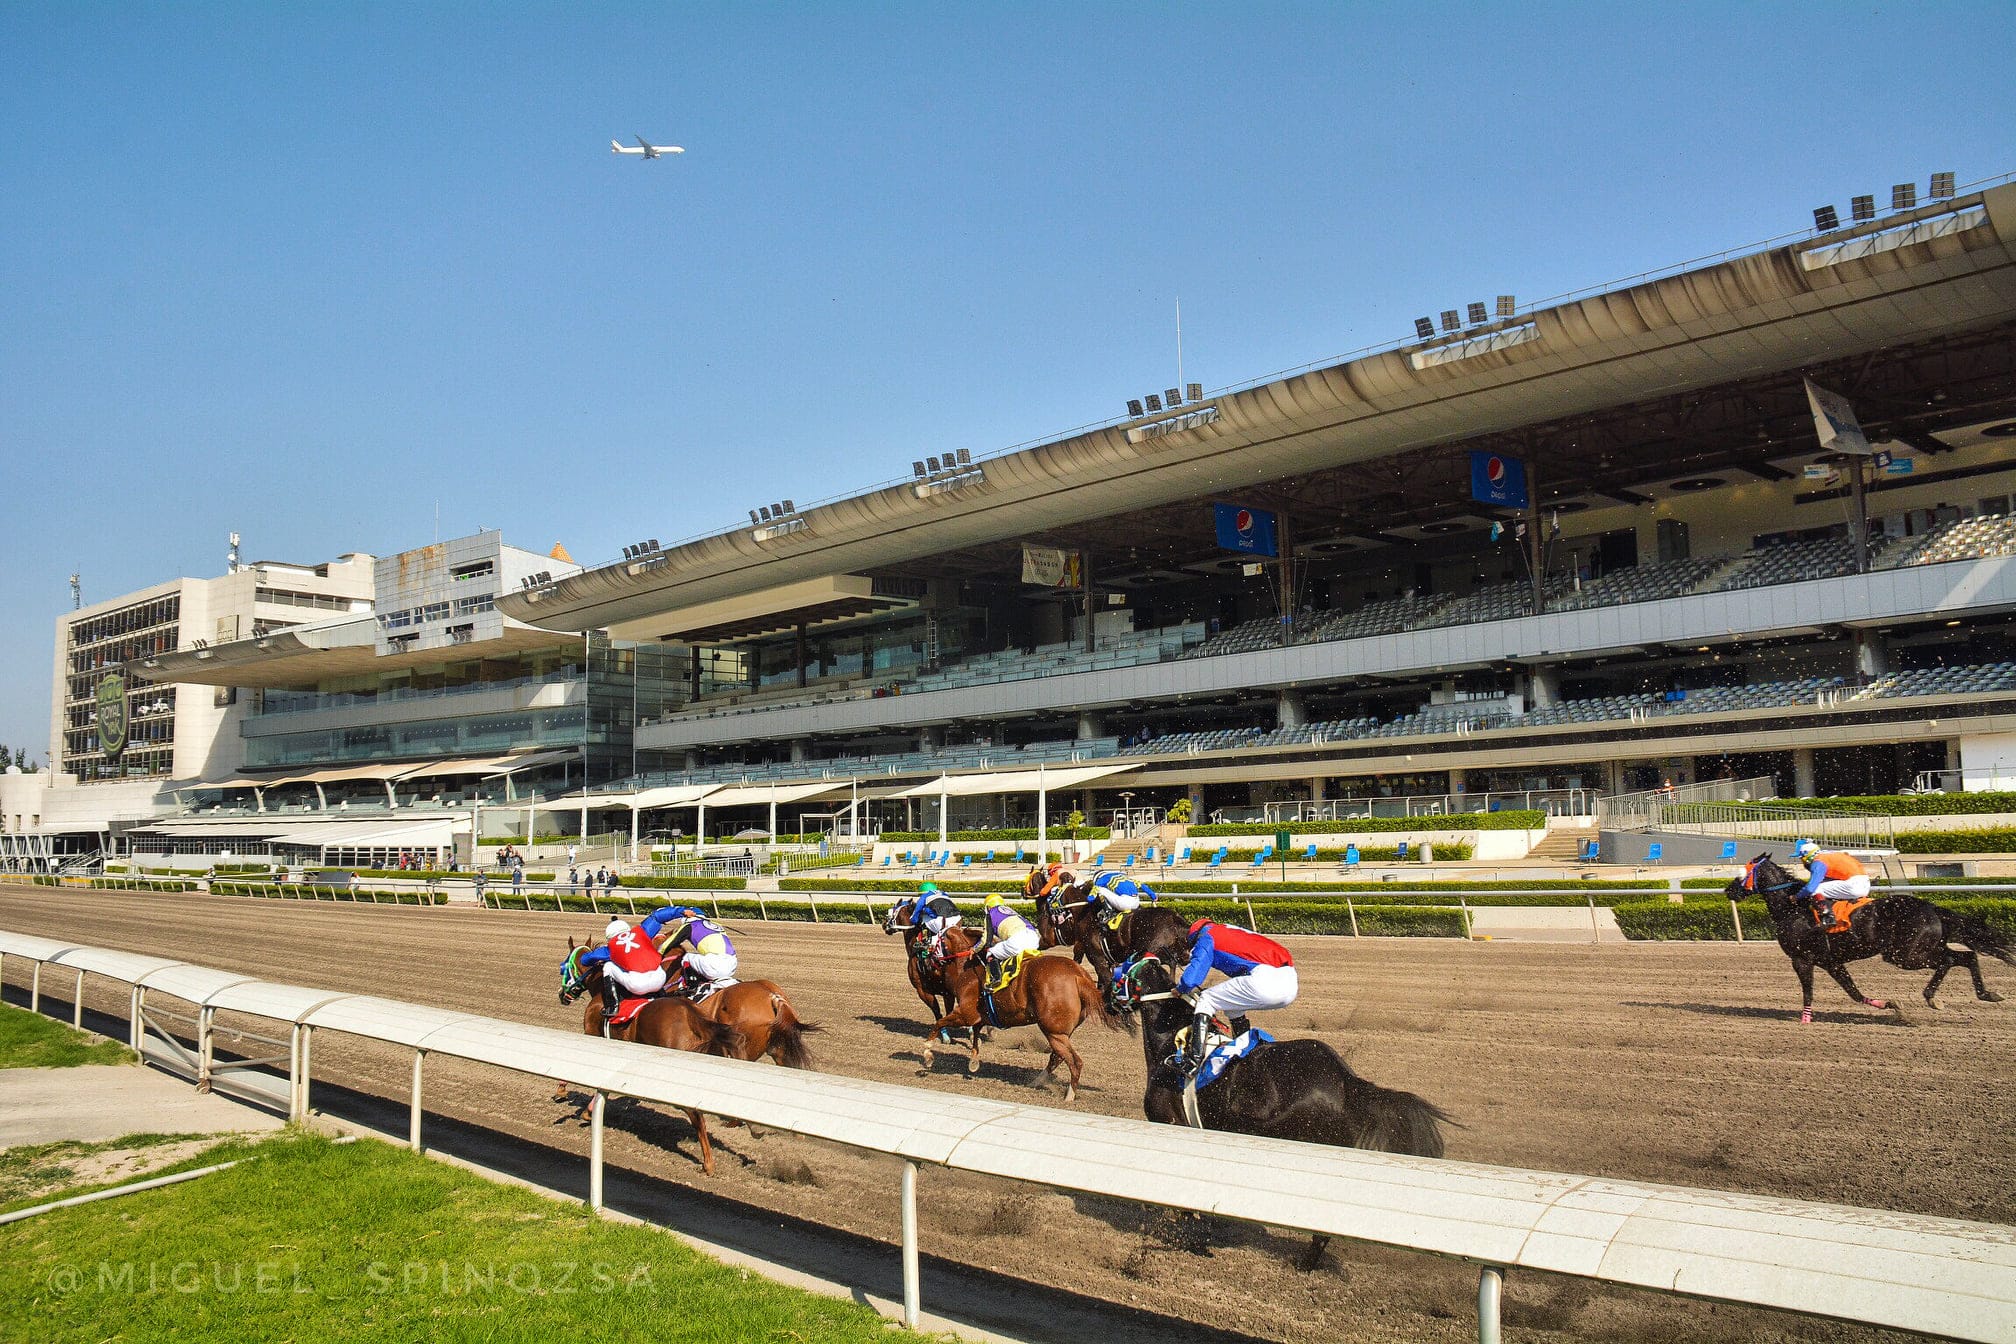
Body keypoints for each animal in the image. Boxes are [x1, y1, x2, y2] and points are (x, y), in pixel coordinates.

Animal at [556, 947, 745, 1176]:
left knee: (697, 1116)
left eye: (565, 965)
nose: (562, 995)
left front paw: (567, 1095)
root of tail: (693, 1015)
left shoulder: (593, 1035)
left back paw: (708, 1163)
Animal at [923, 930, 1128, 1096]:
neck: (969, 968)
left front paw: (927, 1054)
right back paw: (1036, 1081)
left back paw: (1069, 1094)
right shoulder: (979, 1016)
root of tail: (1079, 975)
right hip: (1061, 1033)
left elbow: (939, 1023)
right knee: (1057, 1057)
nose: (924, 951)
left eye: (937, 937)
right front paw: (973, 1062)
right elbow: (975, 1034)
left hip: (1053, 1031)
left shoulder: (965, 1014)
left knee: (1074, 1062)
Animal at [1725, 858, 2007, 1023]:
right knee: (1966, 956)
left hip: (1906, 954)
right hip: (1922, 947)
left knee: (1951, 959)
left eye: (1742, 873)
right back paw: (1985, 994)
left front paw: (1805, 1019)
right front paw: (1891, 1005)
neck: (1792, 907)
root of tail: (1931, 907)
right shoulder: (1830, 961)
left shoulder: (1801, 959)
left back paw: (1933, 997)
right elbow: (1853, 992)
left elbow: (1808, 990)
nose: (1728, 890)